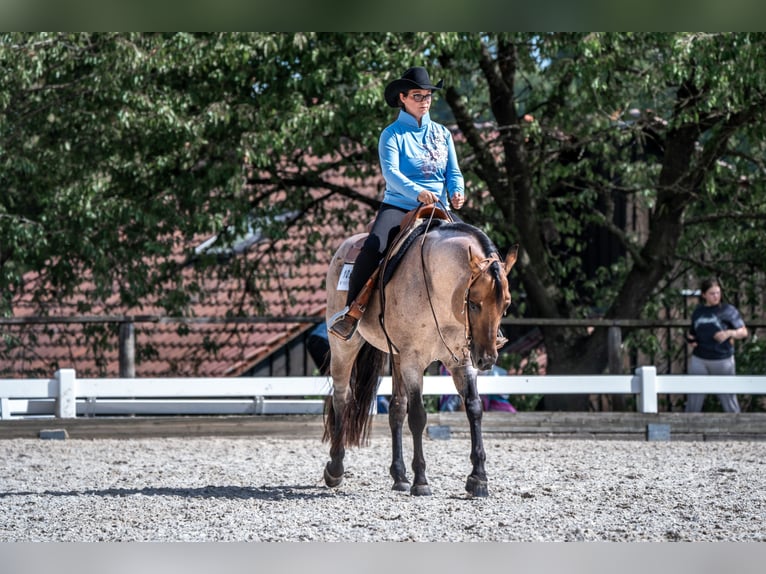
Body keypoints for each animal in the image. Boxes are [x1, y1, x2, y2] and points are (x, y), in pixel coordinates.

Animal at [322, 216, 518, 497]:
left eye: (506, 305)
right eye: (474, 303)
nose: (487, 359)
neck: (437, 291)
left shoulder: (461, 360)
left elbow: (474, 408)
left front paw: (478, 478)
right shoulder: (414, 361)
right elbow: (418, 416)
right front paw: (421, 480)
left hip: (396, 356)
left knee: (395, 408)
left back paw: (399, 476)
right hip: (345, 347)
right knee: (342, 398)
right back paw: (335, 469)